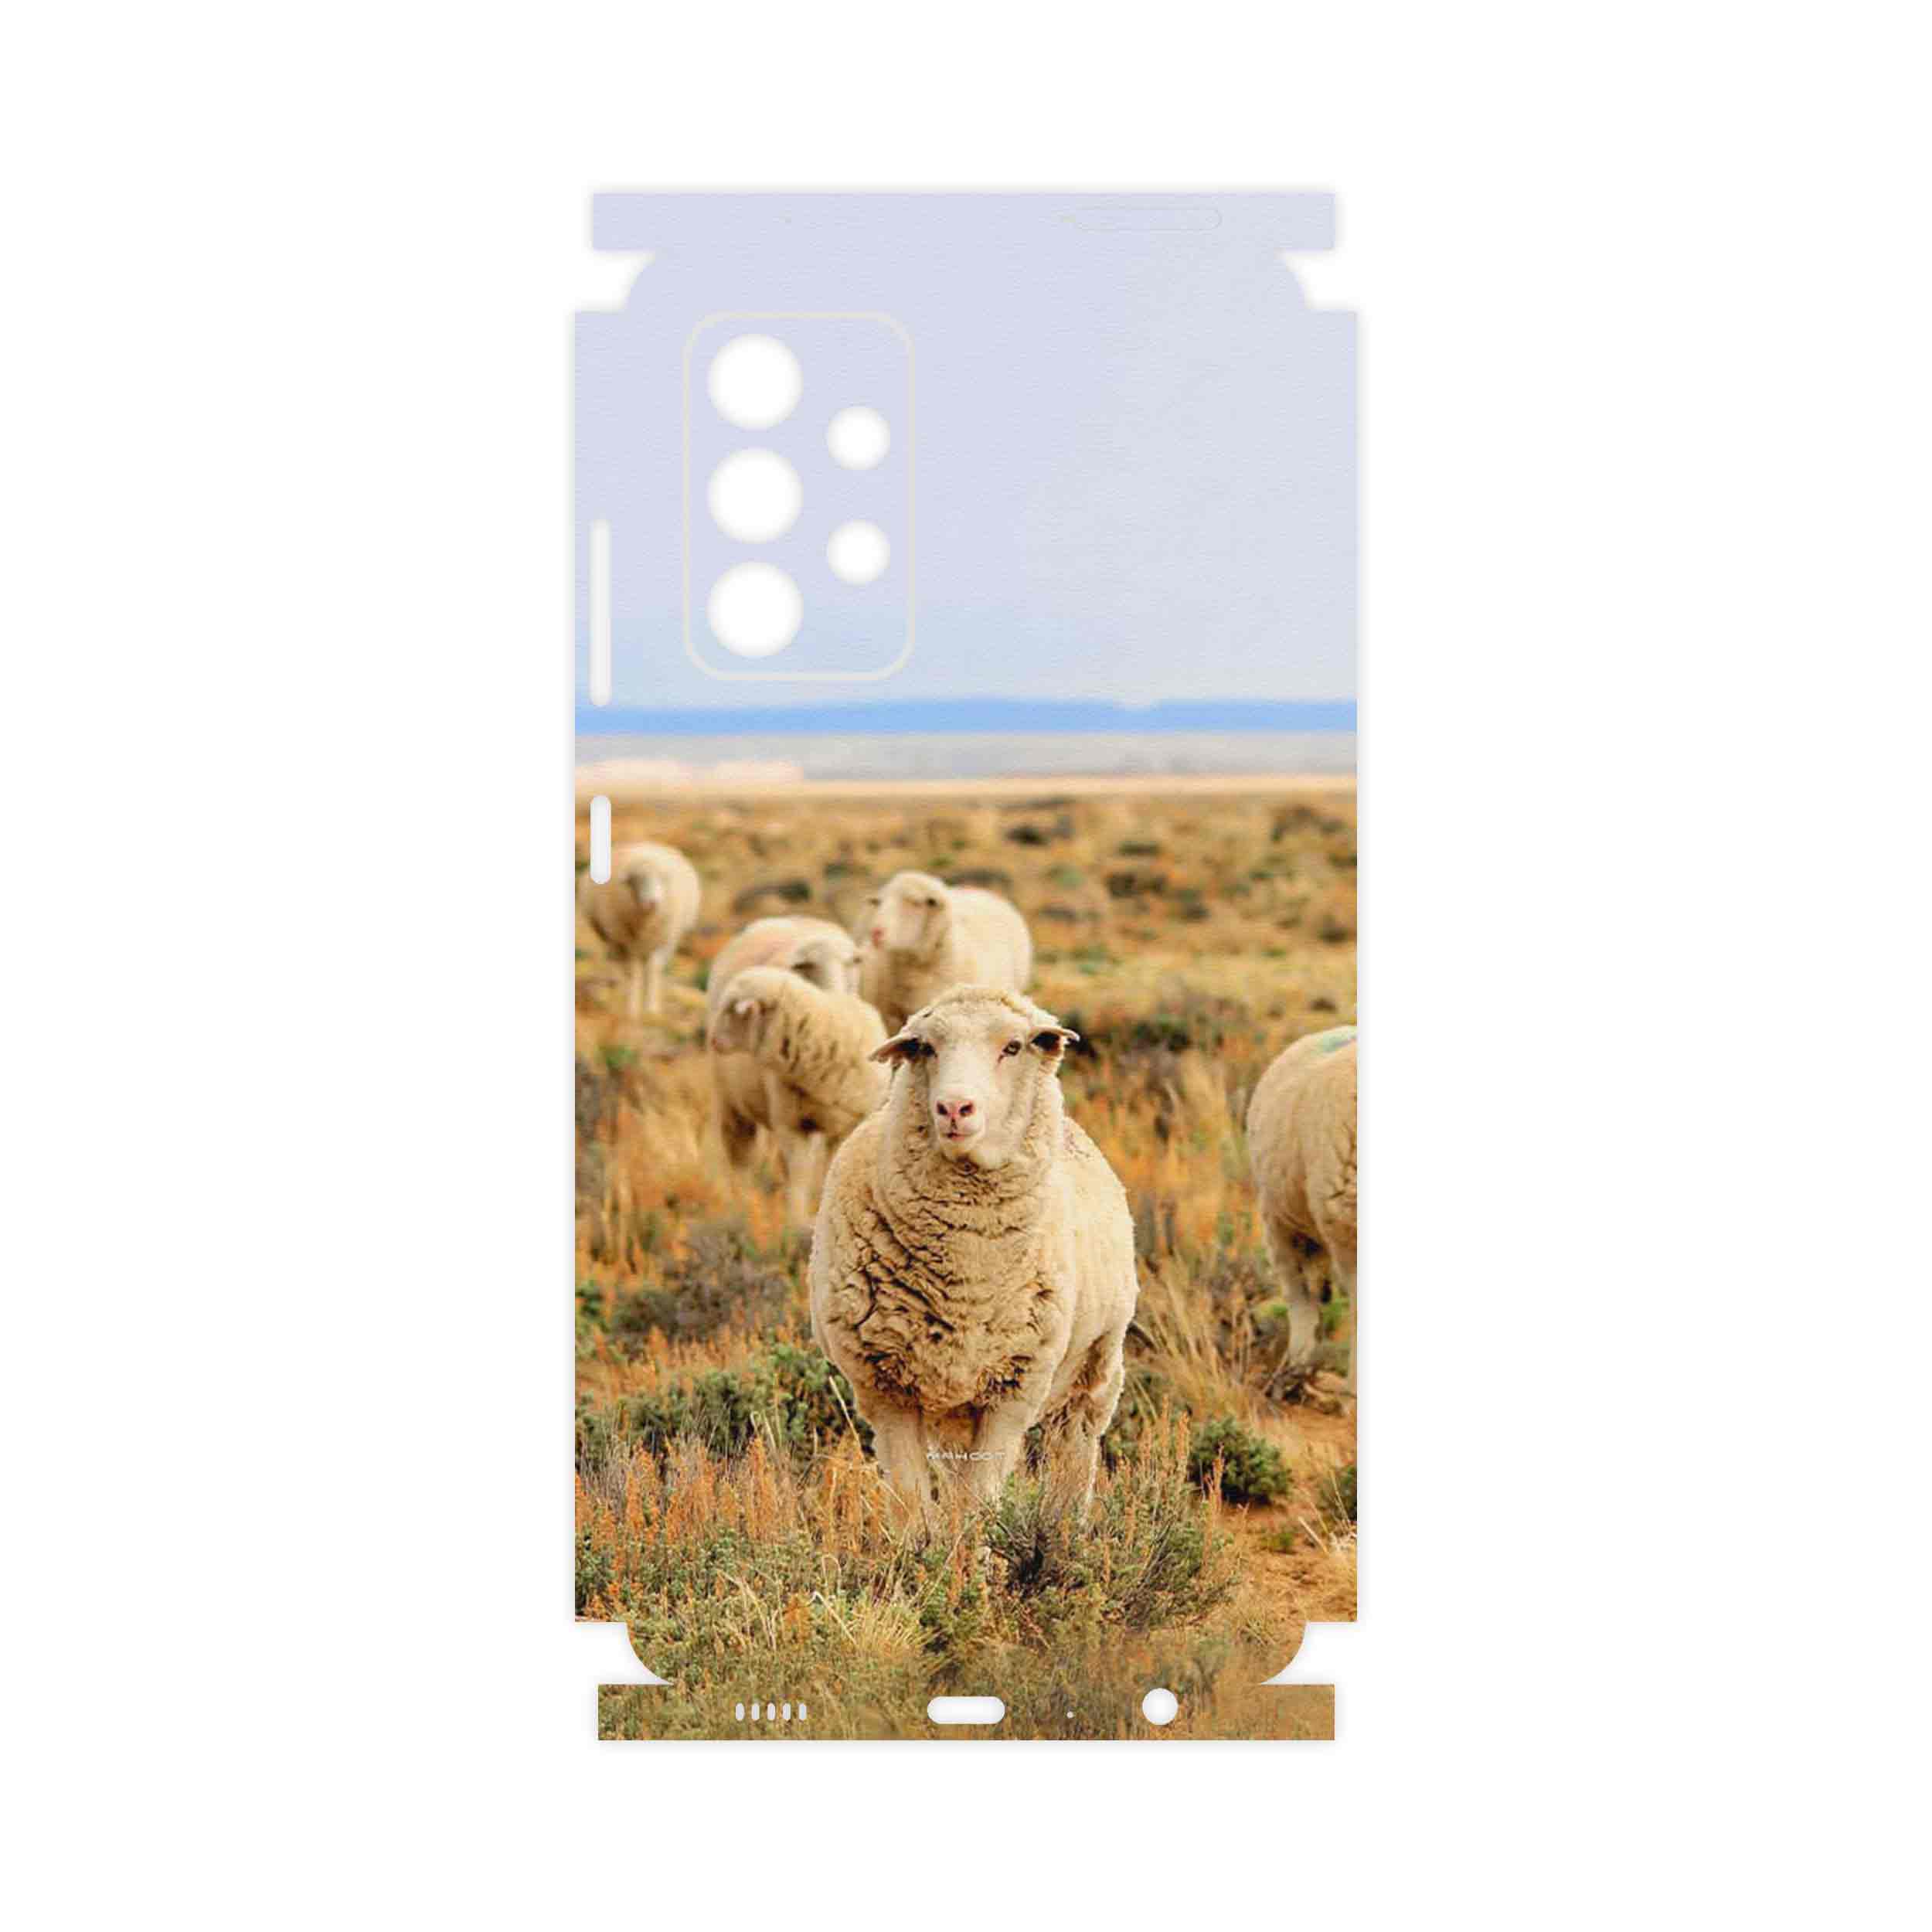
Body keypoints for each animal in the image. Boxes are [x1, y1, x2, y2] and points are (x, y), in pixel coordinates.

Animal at [577, 840, 701, 1019]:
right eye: (636, 881)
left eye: (661, 879)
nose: (652, 903)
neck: (646, 922)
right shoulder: (626, 942)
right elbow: (634, 972)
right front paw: (633, 1009)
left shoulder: (663, 941)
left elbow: (653, 970)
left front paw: (652, 1009)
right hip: (612, 939)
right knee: (621, 966)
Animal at [707, 966, 889, 1226]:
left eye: (733, 1010)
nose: (713, 1040)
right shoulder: (792, 1124)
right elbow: (799, 1173)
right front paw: (797, 1220)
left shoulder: (849, 1124)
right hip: (733, 1108)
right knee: (741, 1158)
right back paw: (741, 1206)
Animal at [809, 984, 1137, 1526]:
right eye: (925, 1047)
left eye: (1014, 1047)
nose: (954, 1108)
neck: (966, 1275)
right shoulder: (885, 1389)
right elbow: (912, 1503)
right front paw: (923, 1548)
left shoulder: (1013, 1390)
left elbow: (979, 1503)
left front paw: (976, 1550)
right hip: (953, 1407)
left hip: (1095, 1367)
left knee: (1074, 1448)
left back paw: (1066, 1528)